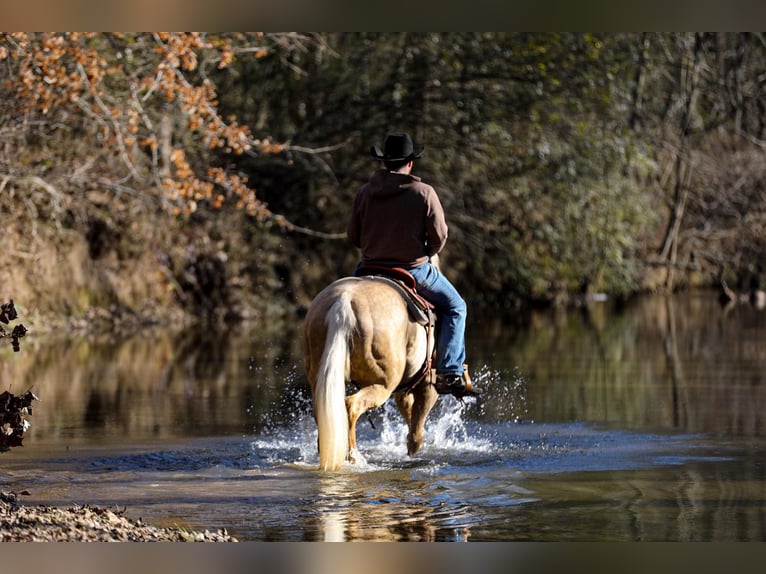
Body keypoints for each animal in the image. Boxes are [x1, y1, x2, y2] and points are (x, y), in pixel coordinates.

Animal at [300, 274, 468, 472]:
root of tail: (344, 301)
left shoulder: (405, 388)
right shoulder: (428, 384)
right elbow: (417, 425)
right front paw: (413, 448)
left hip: (319, 378)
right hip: (383, 385)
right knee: (351, 405)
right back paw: (354, 456)